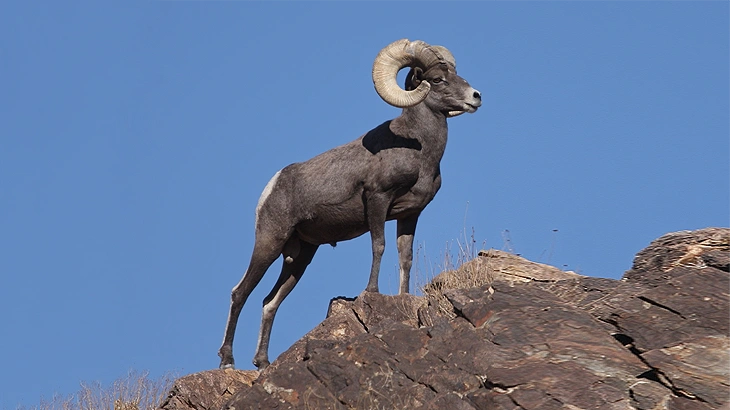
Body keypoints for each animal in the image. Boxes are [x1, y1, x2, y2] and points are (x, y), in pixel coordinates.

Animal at [219, 39, 482, 370]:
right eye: (436, 79)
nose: (476, 97)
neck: (420, 150)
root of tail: (273, 185)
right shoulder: (378, 201)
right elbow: (379, 246)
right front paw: (371, 291)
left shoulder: (410, 215)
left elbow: (405, 257)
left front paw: (403, 295)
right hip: (270, 242)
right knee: (239, 293)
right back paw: (227, 360)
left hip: (301, 256)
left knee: (270, 302)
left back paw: (262, 362)